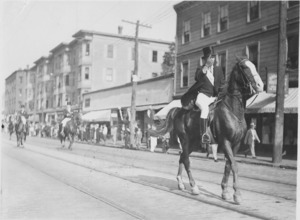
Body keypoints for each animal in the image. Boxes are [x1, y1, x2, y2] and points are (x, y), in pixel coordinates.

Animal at [151, 57, 264, 205]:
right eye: (244, 67)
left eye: (254, 65)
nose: (260, 85)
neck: (232, 110)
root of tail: (178, 111)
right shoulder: (225, 142)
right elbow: (234, 165)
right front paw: (237, 195)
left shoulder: (236, 144)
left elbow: (228, 165)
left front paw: (224, 192)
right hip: (186, 141)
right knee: (186, 160)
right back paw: (194, 187)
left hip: (193, 143)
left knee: (182, 157)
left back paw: (181, 183)